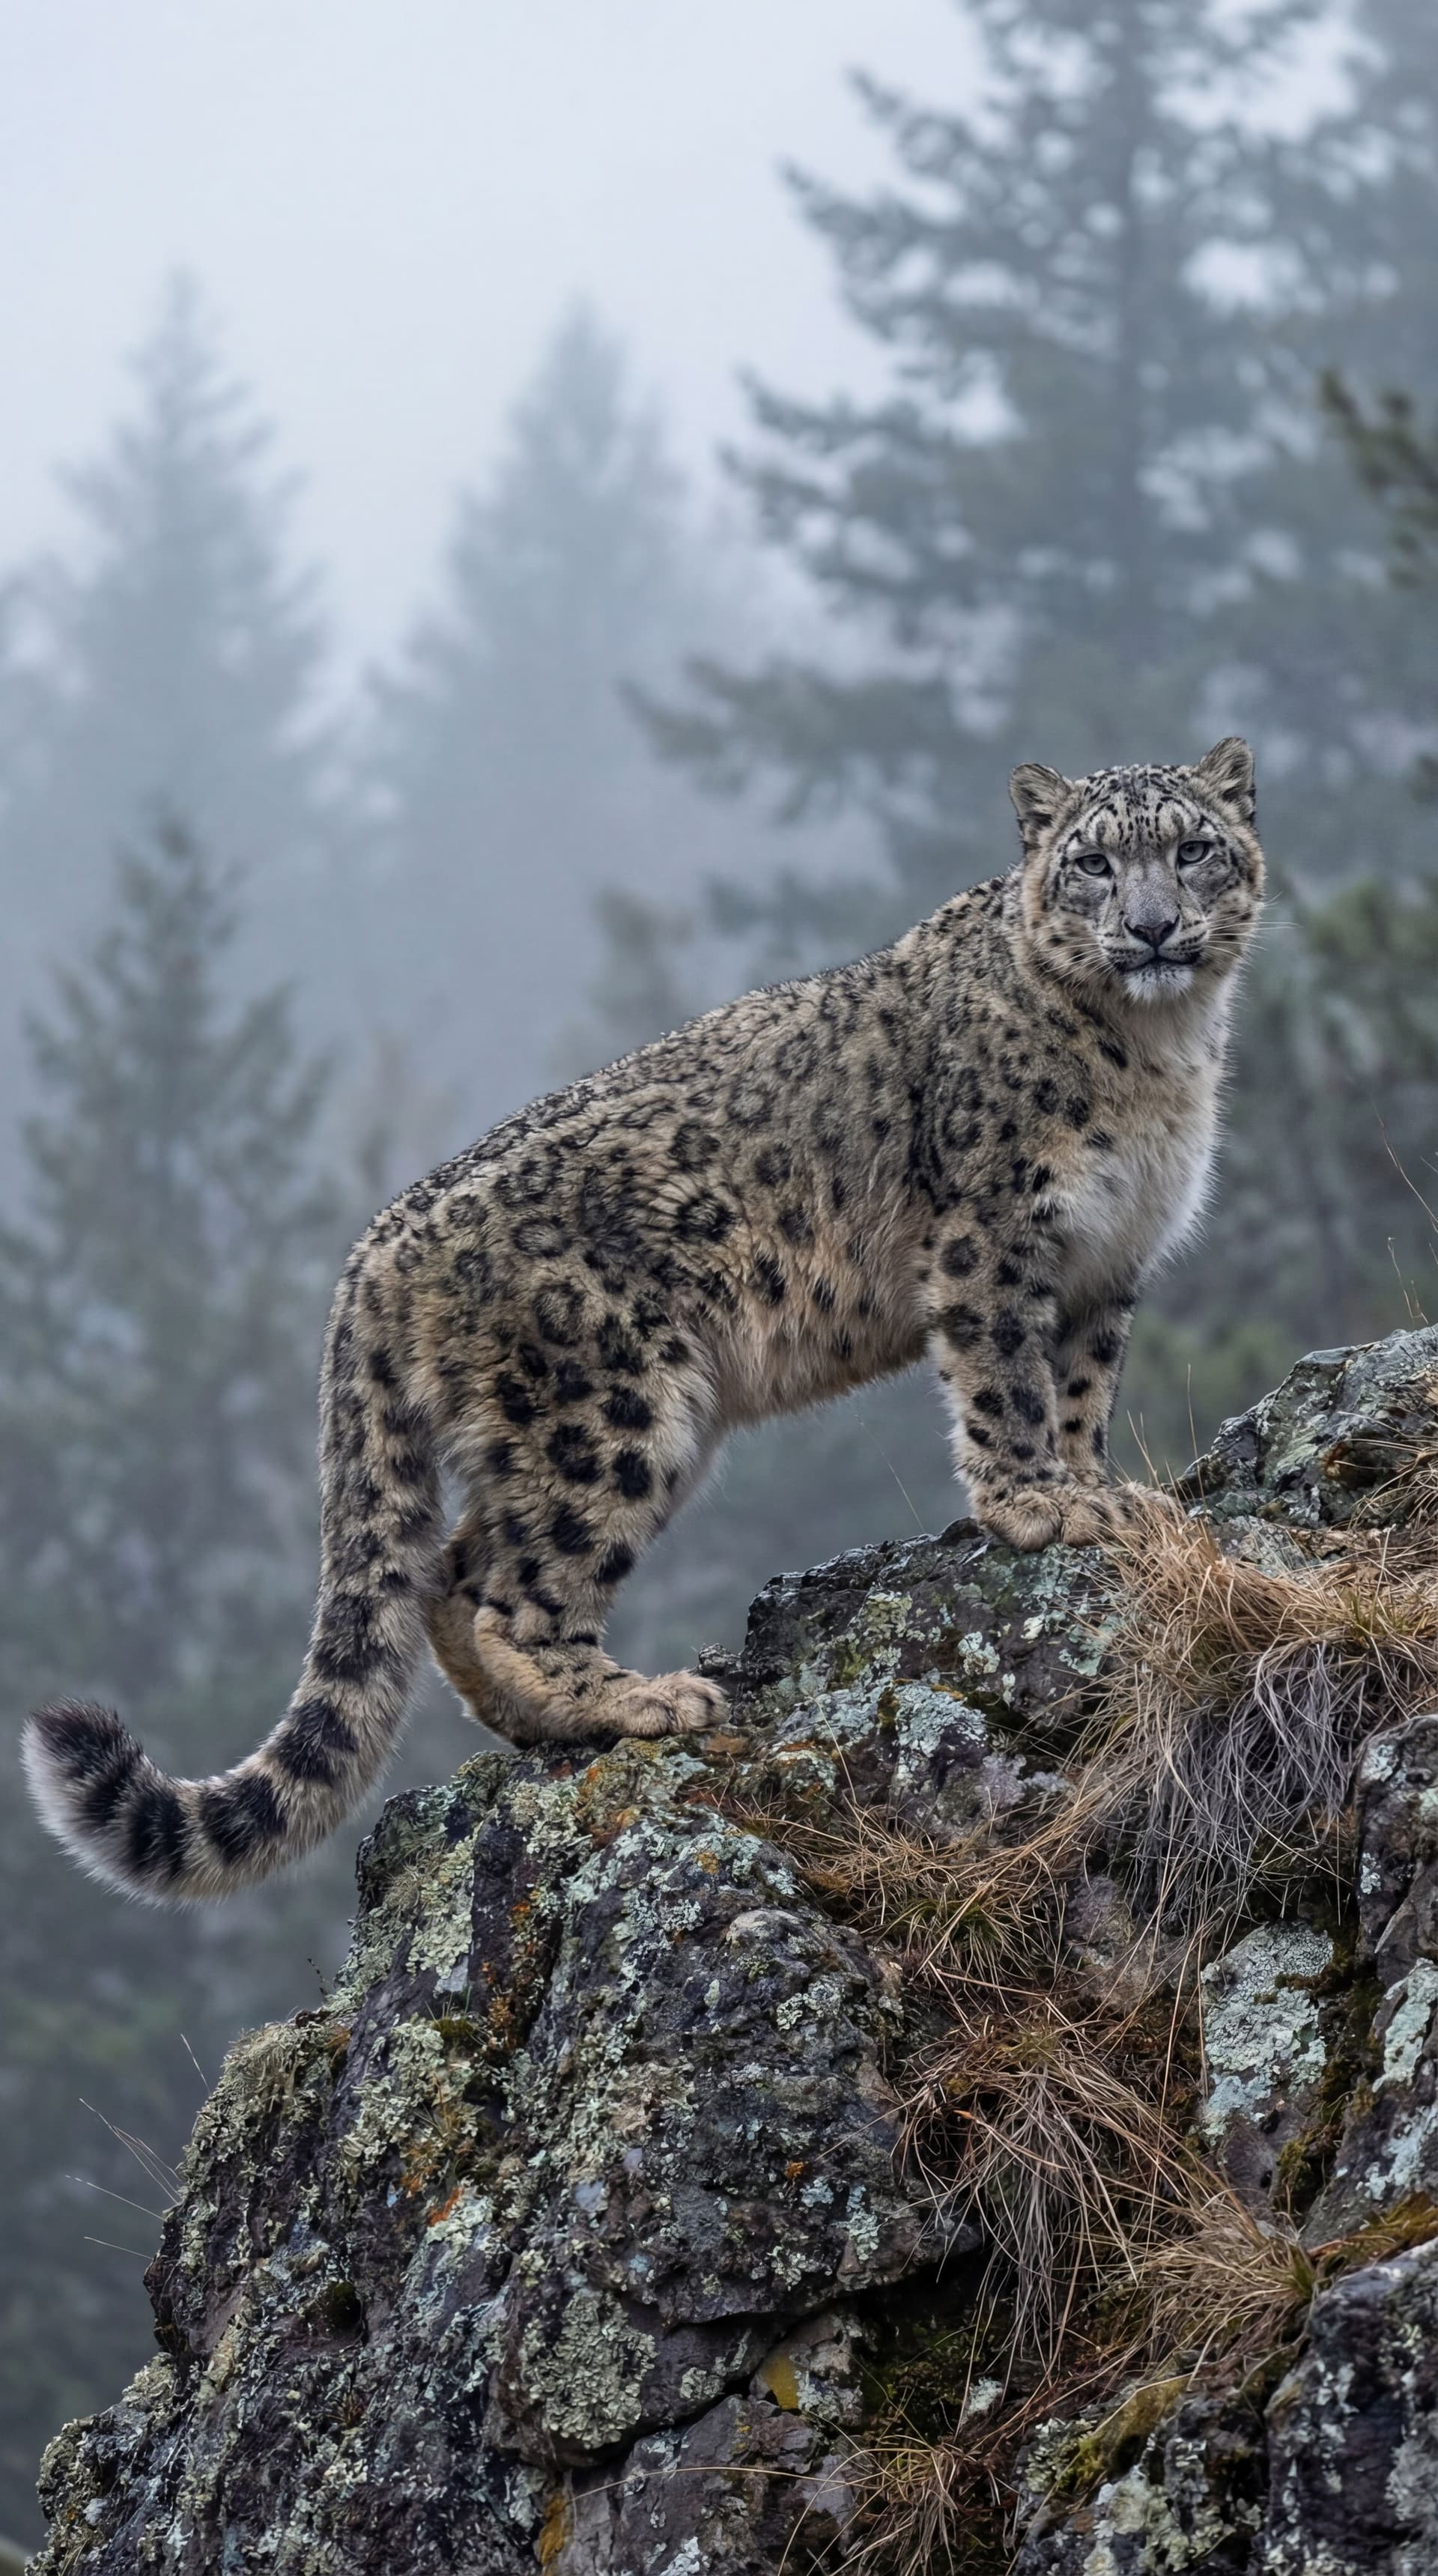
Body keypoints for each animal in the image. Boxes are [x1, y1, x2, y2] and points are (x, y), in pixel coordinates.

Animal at [24, 738, 1263, 1900]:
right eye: (1094, 863)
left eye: (1192, 847)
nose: (1153, 927)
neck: (1158, 1062)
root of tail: (371, 1254)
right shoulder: (994, 1240)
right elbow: (1008, 1382)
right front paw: (1038, 1508)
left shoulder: (1106, 1264)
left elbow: (1082, 1390)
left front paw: (1101, 1491)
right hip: (612, 1406)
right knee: (517, 1594)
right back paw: (637, 1702)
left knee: (455, 1568)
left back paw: (535, 1720)